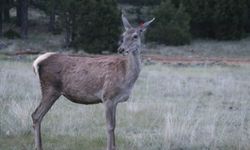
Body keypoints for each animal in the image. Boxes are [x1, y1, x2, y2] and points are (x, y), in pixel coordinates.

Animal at [31, 14, 154, 150]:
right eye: (123, 35)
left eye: (135, 36)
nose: (121, 49)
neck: (126, 77)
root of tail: (38, 61)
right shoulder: (107, 97)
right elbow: (110, 126)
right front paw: (109, 147)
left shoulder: (115, 101)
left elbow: (115, 125)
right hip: (50, 88)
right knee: (36, 115)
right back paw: (38, 146)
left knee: (37, 116)